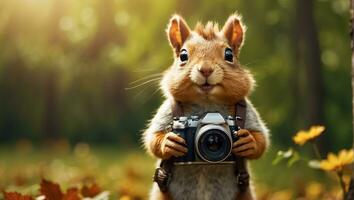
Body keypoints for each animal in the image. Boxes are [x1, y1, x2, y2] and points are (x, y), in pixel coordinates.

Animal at [142, 13, 270, 199]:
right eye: (183, 55)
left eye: (229, 54)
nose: (206, 70)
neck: (207, 103)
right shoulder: (167, 111)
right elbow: (153, 138)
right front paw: (169, 142)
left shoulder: (249, 112)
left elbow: (261, 140)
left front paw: (248, 141)